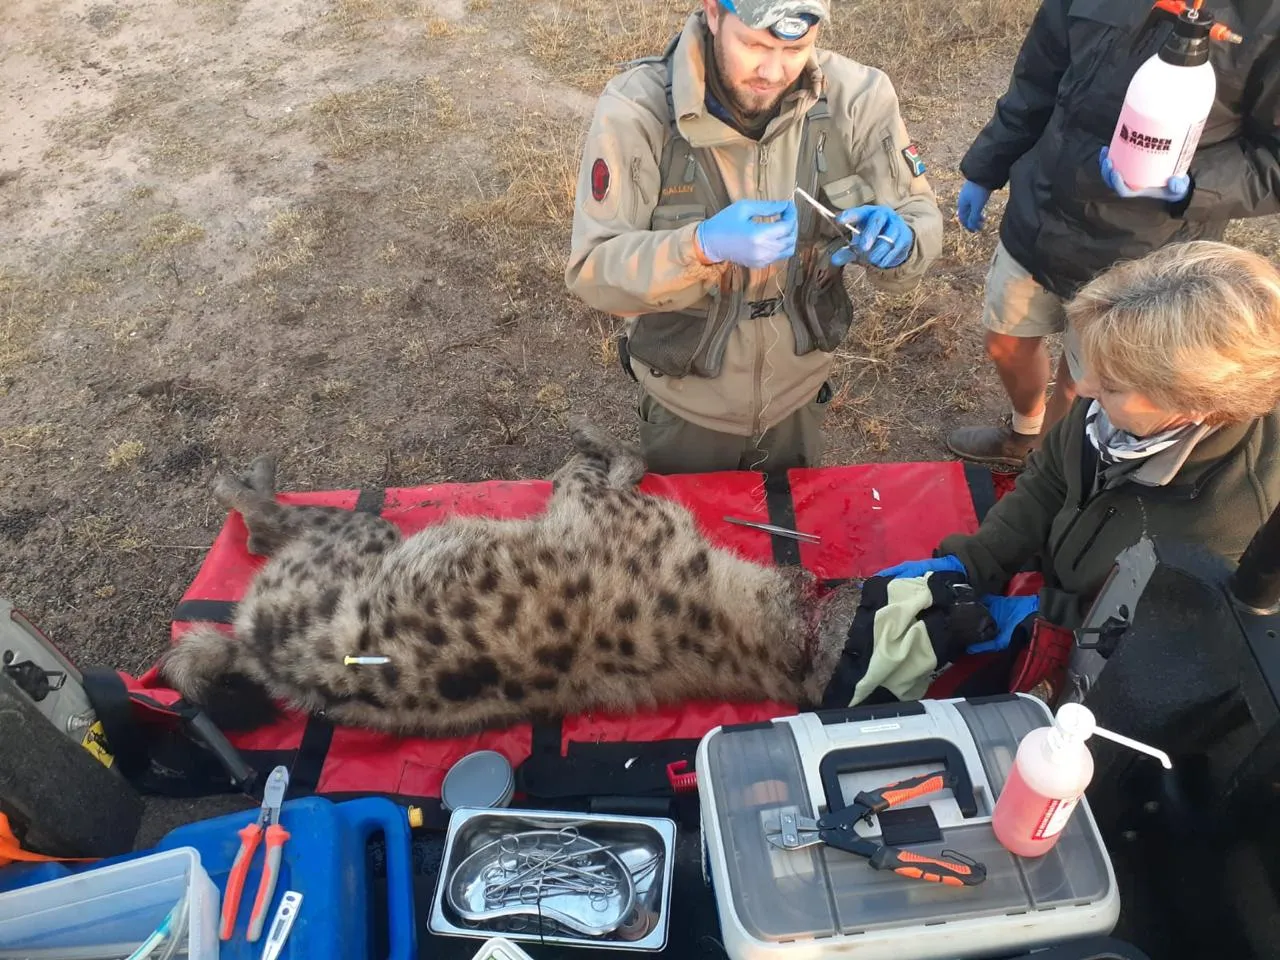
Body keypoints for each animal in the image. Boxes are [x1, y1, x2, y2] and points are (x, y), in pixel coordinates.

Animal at [160, 421, 863, 738]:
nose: (842, 579)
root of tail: (254, 650)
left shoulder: (600, 510)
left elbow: (593, 467)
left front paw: (592, 438)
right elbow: (619, 462)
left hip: (356, 549)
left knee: (285, 530)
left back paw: (248, 490)